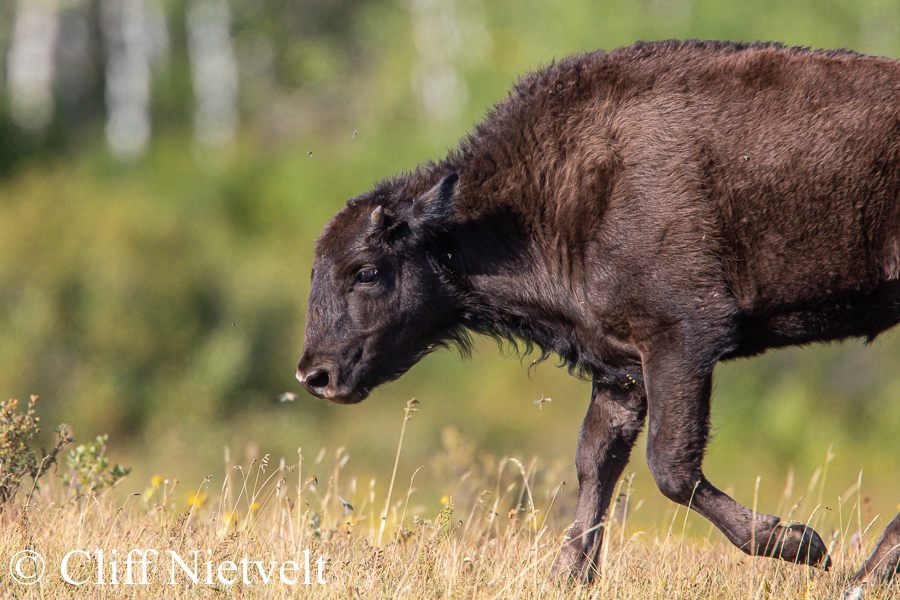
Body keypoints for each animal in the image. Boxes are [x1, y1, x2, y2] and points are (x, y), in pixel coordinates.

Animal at [298, 41, 900, 596]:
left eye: (366, 271)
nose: (314, 375)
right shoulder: (621, 369)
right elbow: (596, 462)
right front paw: (568, 577)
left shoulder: (681, 340)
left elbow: (670, 465)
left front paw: (803, 544)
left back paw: (858, 577)